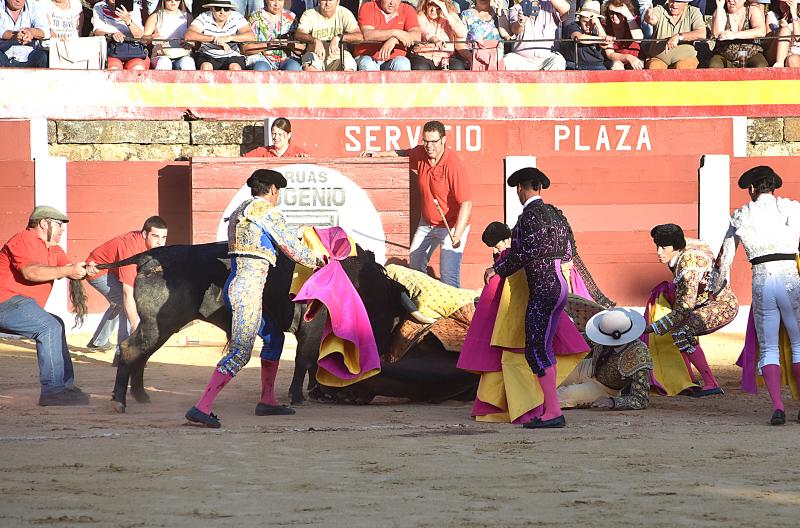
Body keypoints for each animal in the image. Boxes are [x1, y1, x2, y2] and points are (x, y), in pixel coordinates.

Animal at [97, 242, 478, 412]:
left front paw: (316, 391)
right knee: (131, 351)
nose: (385, 353)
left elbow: (315, 362)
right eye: (395, 316)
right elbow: (307, 360)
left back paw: (141, 396)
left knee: (140, 355)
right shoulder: (314, 327)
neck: (359, 283)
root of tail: (150, 254)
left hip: (160, 326)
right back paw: (120, 400)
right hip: (159, 324)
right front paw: (300, 395)